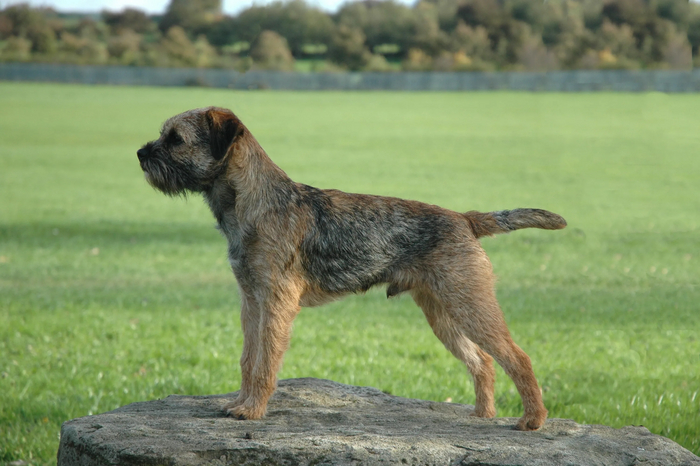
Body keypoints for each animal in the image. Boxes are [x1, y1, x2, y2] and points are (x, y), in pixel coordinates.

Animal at [138, 107, 568, 432]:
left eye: (175, 138)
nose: (140, 154)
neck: (257, 201)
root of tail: (464, 218)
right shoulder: (251, 301)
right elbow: (248, 358)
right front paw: (241, 402)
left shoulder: (275, 301)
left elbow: (265, 361)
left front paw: (253, 410)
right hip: (442, 313)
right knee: (483, 361)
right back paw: (482, 414)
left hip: (469, 304)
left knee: (517, 357)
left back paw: (533, 420)